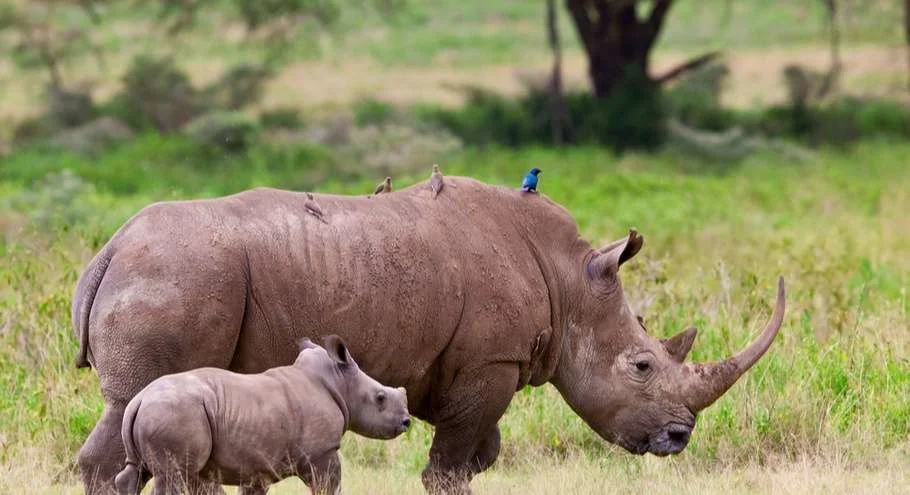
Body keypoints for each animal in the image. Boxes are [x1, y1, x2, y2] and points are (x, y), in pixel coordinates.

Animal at [114, 335, 410, 495]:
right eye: (380, 398)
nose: (406, 421)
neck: (338, 383)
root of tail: (139, 400)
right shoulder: (322, 452)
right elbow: (330, 486)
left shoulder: (257, 465)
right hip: (174, 413)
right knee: (173, 476)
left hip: (158, 413)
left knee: (136, 473)